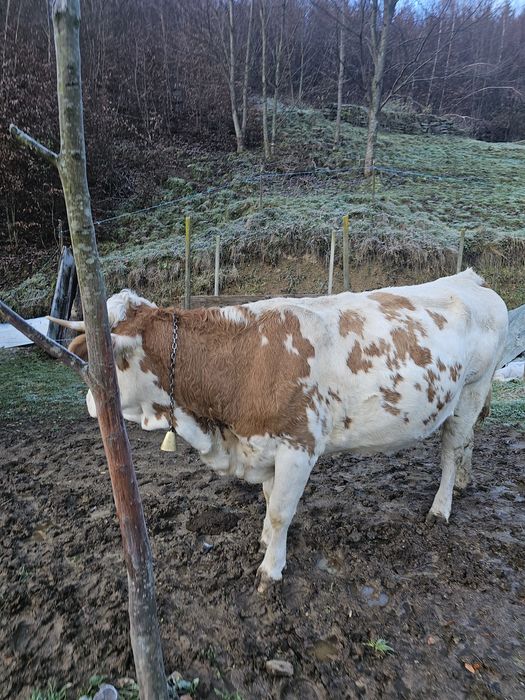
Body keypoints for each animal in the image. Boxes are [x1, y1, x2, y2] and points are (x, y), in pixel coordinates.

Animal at [51, 269, 508, 591]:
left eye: (107, 358)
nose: (90, 401)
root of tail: (470, 277)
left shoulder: (297, 446)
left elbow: (281, 509)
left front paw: (270, 569)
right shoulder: (262, 446)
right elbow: (270, 502)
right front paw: (266, 541)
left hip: (471, 390)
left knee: (452, 450)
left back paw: (441, 507)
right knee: (466, 444)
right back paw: (464, 484)